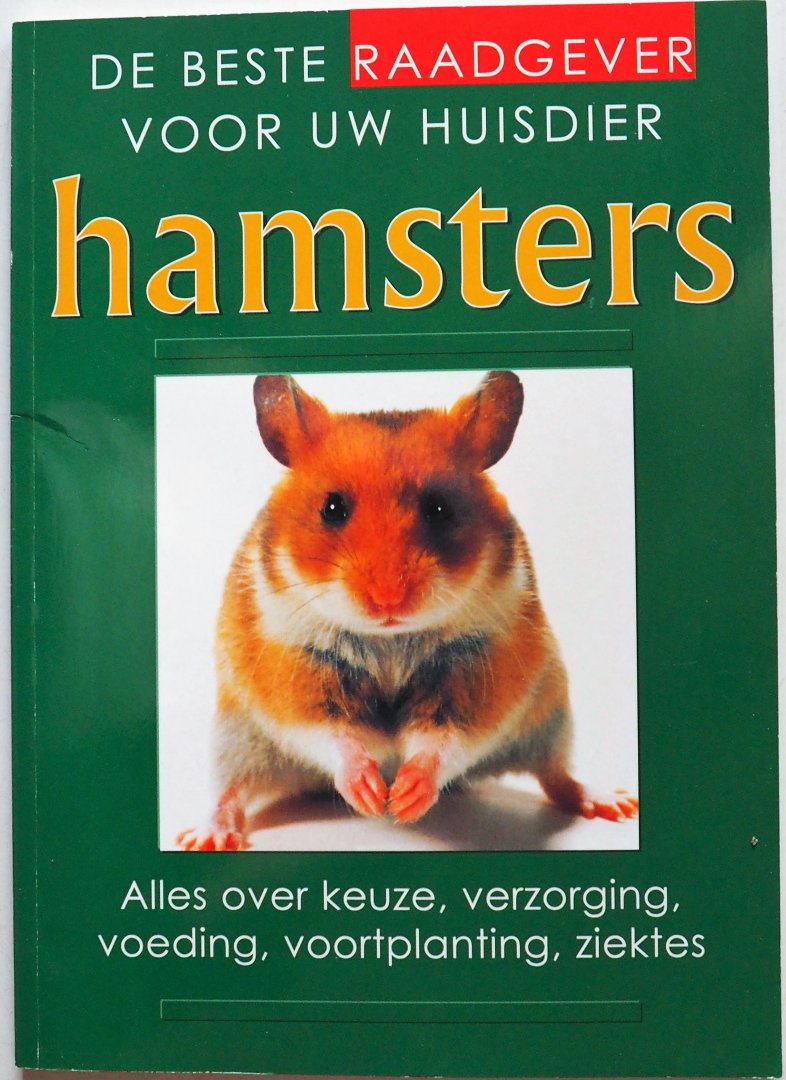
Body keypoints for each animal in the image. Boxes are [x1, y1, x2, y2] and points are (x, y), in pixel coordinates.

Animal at [177, 371, 637, 851]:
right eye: (332, 508)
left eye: (438, 508)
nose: (388, 599)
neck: (389, 638)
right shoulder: (292, 673)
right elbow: (333, 735)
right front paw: (370, 796)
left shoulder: (480, 673)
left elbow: (445, 739)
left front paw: (403, 799)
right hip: (236, 736)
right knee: (231, 788)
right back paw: (205, 838)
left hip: (549, 714)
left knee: (557, 775)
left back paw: (616, 803)